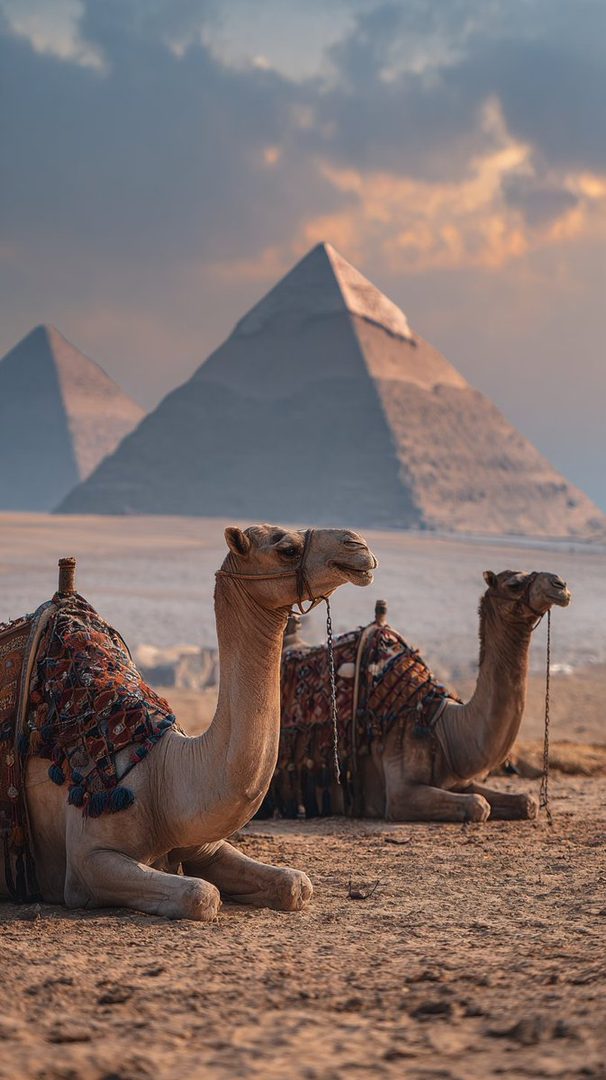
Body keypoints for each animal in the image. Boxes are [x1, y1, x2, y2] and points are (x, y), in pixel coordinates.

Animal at [0, 525, 376, 919]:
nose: (357, 545)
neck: (162, 775)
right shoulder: (87, 863)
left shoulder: (204, 845)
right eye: (286, 548)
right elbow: (201, 894)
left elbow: (295, 884)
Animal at [269, 569, 571, 822]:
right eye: (514, 583)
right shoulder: (399, 793)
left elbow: (527, 802)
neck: (440, 723)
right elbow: (478, 805)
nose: (560, 585)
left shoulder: (457, 780)